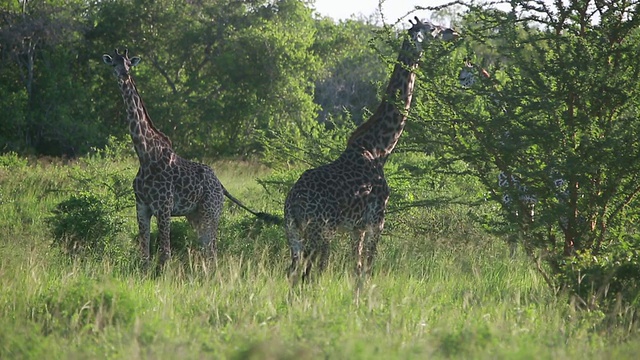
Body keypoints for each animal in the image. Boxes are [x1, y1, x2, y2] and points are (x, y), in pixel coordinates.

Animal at [102, 49, 278, 268]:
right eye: (114, 64)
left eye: (128, 64)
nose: (124, 74)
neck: (145, 155)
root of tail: (220, 185)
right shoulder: (142, 207)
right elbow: (145, 256)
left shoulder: (163, 207)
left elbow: (165, 253)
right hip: (194, 215)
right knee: (206, 249)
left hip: (211, 213)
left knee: (212, 250)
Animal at [286, 18, 460, 286]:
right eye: (432, 29)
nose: (454, 32)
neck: (379, 149)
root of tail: (293, 203)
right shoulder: (377, 220)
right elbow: (367, 269)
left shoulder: (356, 227)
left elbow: (356, 268)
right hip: (320, 231)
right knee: (308, 273)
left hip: (294, 233)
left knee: (293, 272)